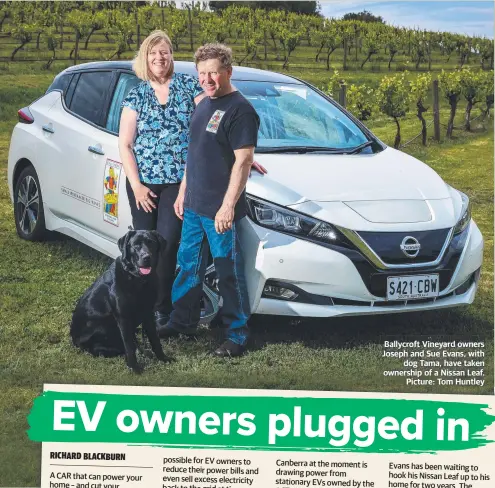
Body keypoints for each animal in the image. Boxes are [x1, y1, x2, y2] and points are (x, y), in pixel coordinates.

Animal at [70, 231, 170, 372]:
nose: (147, 257)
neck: (137, 280)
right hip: (103, 327)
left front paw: (163, 358)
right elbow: (129, 346)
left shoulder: (148, 314)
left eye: (151, 243)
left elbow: (155, 339)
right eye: (136, 245)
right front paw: (134, 368)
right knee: (100, 349)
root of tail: (73, 339)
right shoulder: (124, 319)